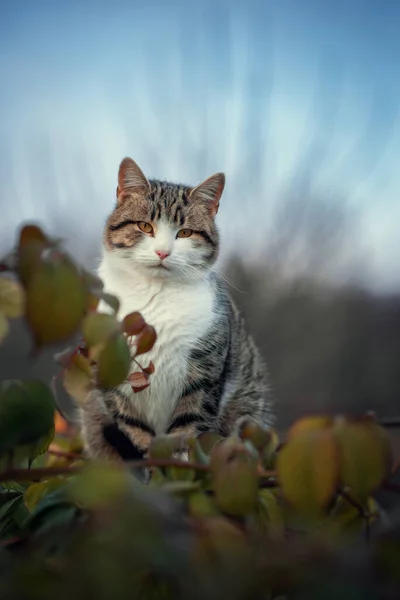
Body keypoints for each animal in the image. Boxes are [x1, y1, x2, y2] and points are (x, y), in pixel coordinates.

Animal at [79, 156, 276, 464]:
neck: (155, 295)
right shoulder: (115, 377)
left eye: (185, 233)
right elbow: (137, 433)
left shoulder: (203, 377)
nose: (163, 252)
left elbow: (187, 433)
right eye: (145, 226)